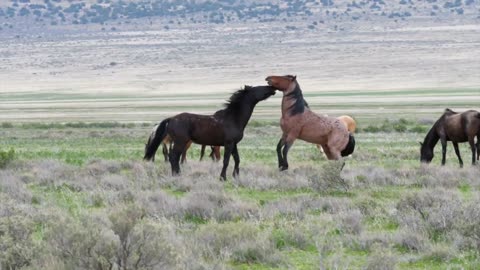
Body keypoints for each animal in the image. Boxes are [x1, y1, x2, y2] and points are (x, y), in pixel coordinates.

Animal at [142, 85, 276, 180]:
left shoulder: (234, 144)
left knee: (174, 157)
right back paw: (177, 175)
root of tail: (171, 119)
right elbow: (226, 161)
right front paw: (223, 178)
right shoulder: (228, 144)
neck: (233, 118)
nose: (272, 88)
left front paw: (235, 176)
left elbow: (237, 159)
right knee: (174, 157)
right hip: (180, 142)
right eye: (258, 88)